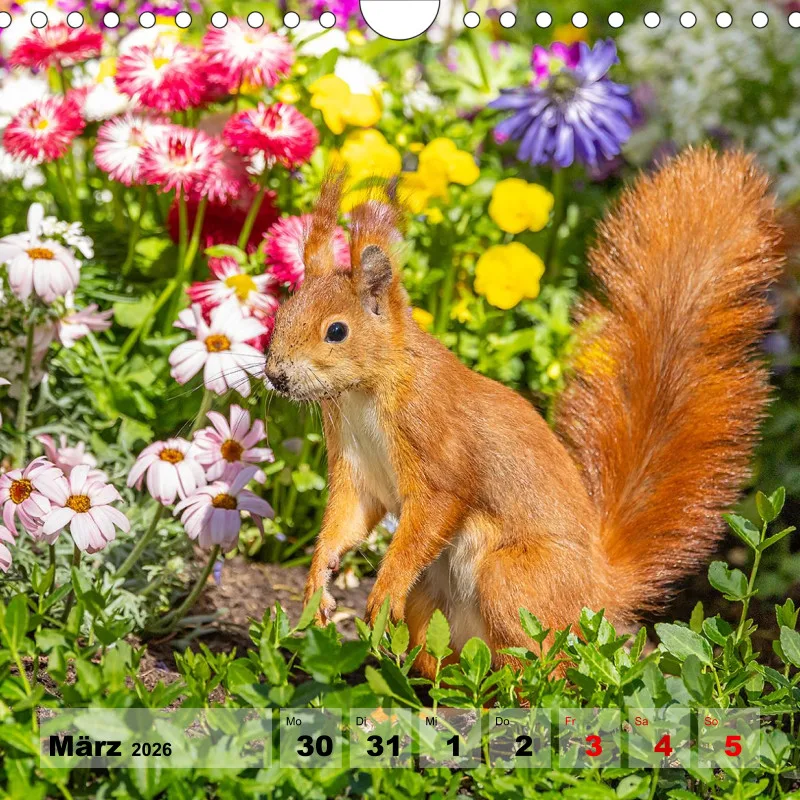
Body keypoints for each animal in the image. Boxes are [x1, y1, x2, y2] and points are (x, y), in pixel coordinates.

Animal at [264, 148, 783, 679]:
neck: (363, 395)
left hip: (512, 579)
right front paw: (317, 583)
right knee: (453, 658)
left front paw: (383, 590)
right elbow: (347, 519)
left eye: (337, 331)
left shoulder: (436, 449)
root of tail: (598, 595)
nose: (277, 375)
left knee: (551, 663)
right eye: (282, 314)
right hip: (434, 603)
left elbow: (430, 514)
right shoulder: (354, 462)